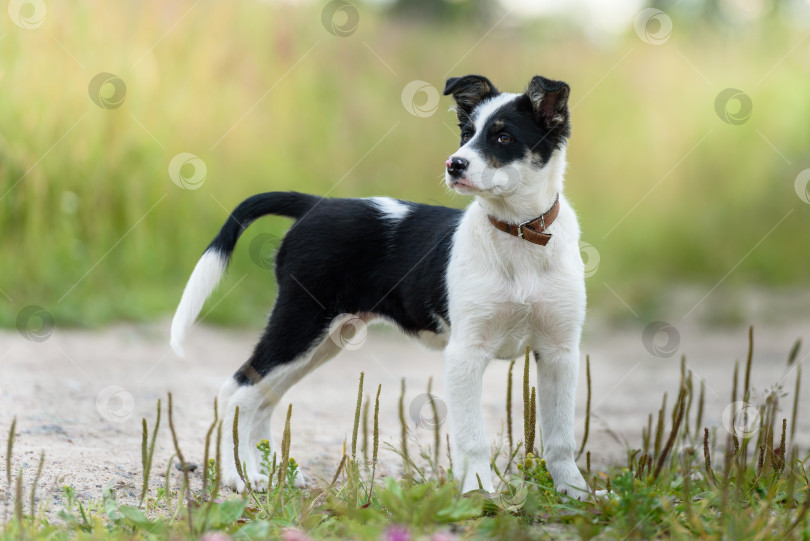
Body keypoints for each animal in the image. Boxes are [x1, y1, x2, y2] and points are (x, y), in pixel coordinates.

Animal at [170, 74, 588, 496]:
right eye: (466, 134)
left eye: (503, 137)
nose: (454, 165)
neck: (518, 233)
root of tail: (316, 204)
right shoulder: (466, 353)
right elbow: (473, 438)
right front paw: (479, 494)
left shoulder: (559, 352)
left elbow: (561, 437)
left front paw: (575, 493)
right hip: (300, 323)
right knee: (236, 391)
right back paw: (239, 475)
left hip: (326, 337)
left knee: (262, 398)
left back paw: (270, 472)